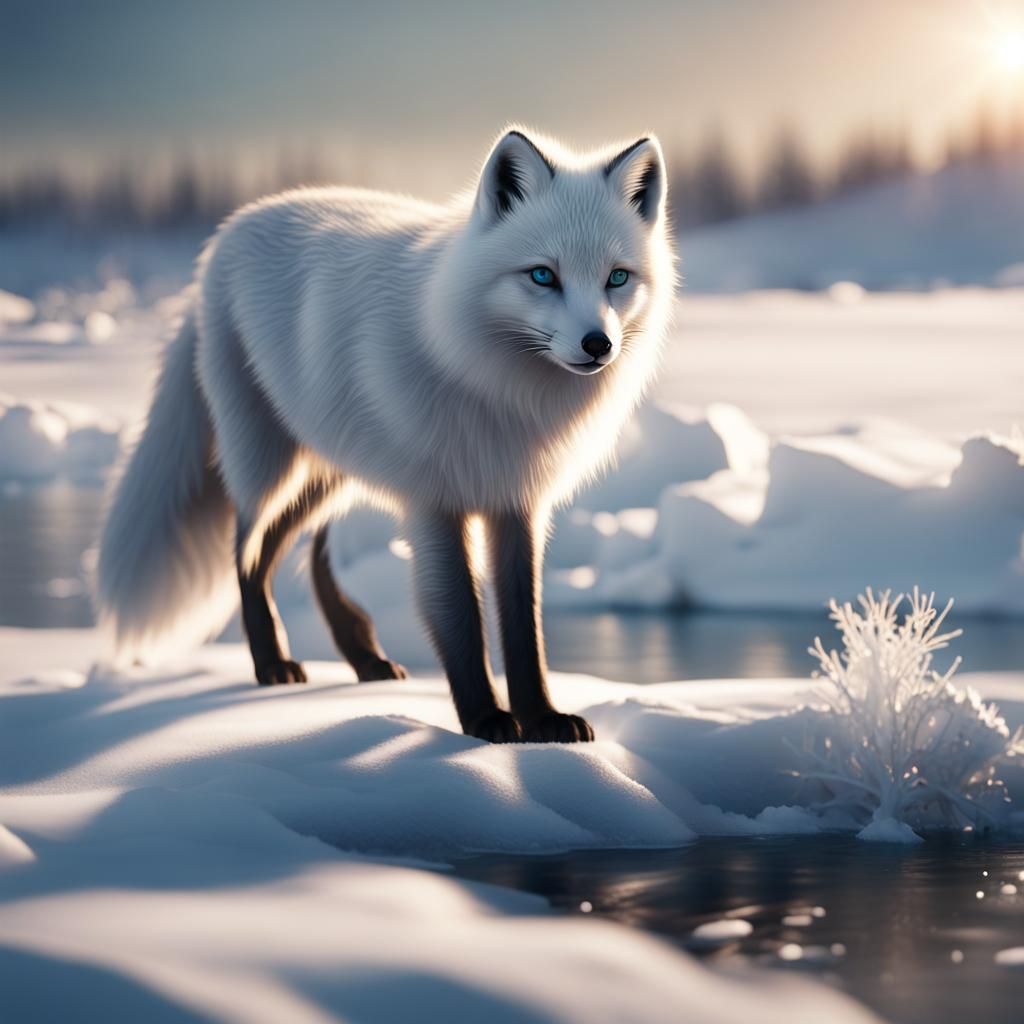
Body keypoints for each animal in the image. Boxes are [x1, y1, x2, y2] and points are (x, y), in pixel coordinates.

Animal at [97, 127, 676, 743]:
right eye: (543, 275)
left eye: (617, 277)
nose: (598, 345)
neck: (496, 386)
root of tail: (224, 235)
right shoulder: (435, 502)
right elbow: (460, 616)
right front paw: (486, 721)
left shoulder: (516, 502)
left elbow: (524, 625)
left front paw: (541, 719)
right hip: (268, 464)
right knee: (247, 553)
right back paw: (271, 664)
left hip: (333, 470)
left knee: (309, 555)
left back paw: (364, 660)